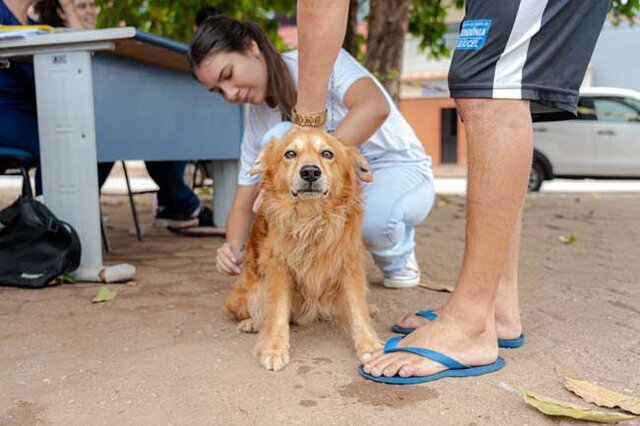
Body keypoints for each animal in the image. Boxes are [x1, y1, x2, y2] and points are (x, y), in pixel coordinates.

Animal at [224, 129, 380, 370]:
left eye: (327, 153)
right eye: (290, 153)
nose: (310, 172)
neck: (311, 219)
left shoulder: (349, 264)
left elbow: (356, 308)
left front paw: (369, 346)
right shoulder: (278, 268)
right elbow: (277, 312)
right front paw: (274, 349)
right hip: (252, 291)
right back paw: (251, 323)